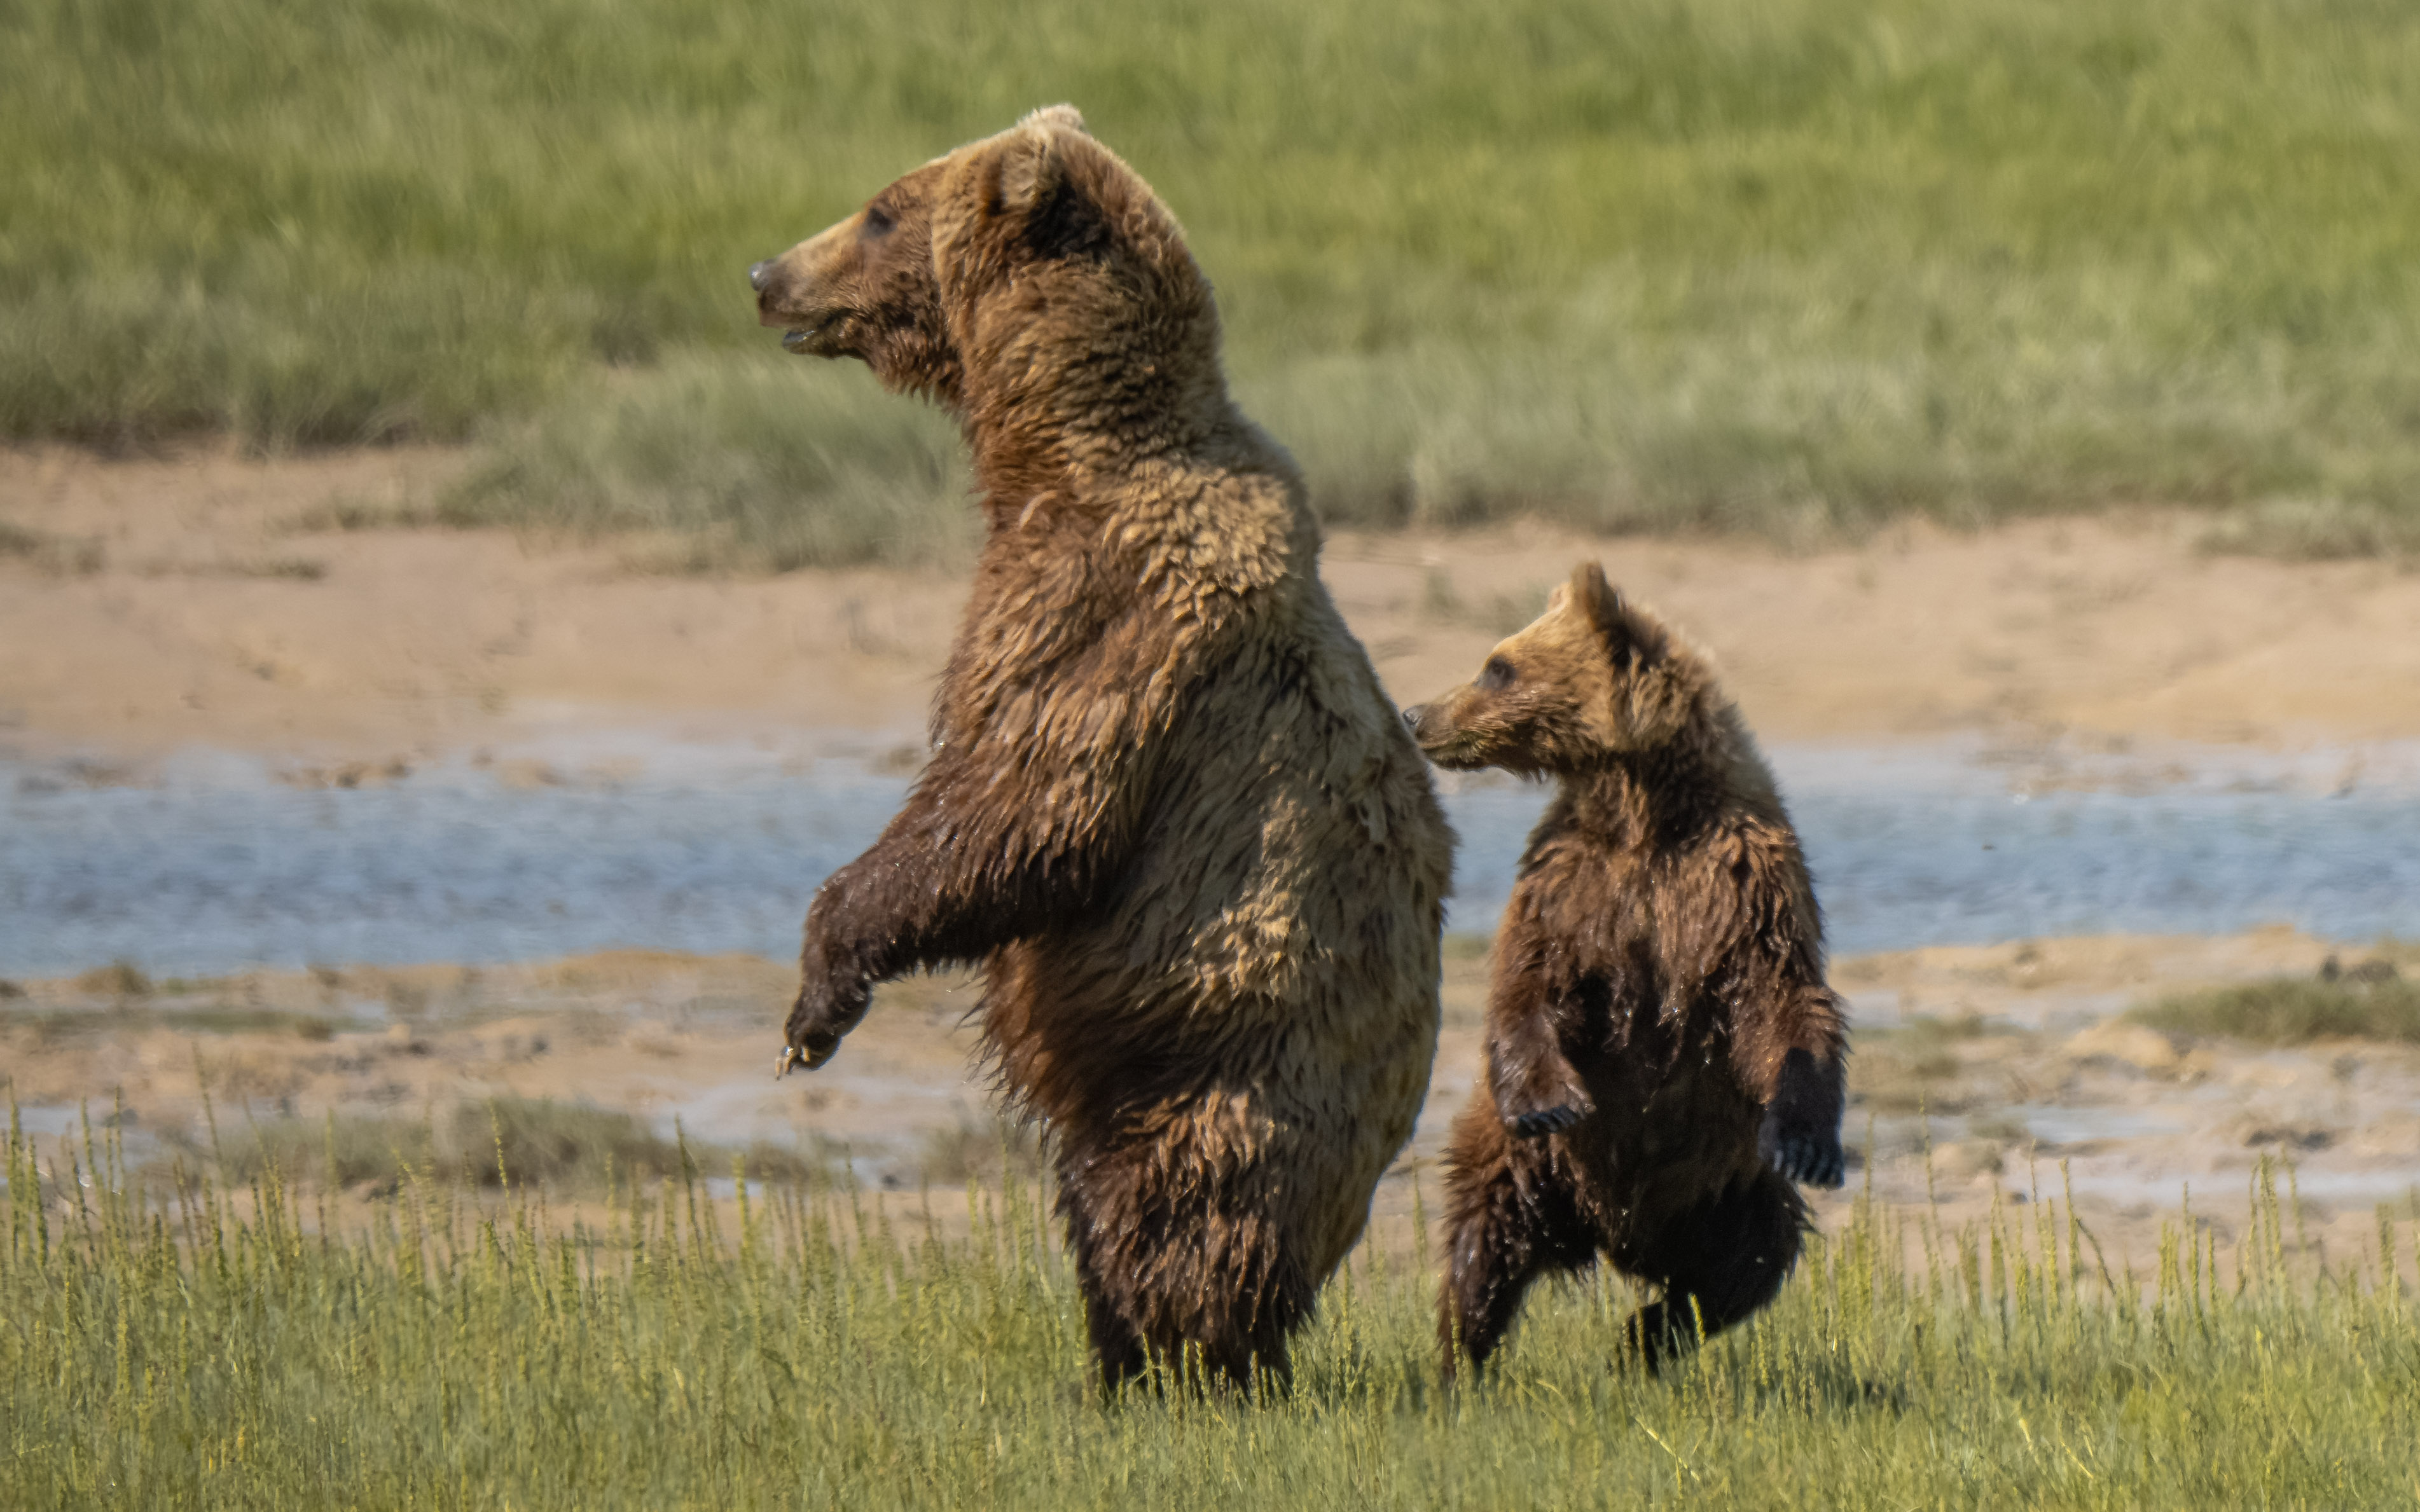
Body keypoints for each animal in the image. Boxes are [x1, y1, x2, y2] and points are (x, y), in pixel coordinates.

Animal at [750, 106, 1453, 1391]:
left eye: (880, 209)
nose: (766, 273)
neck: (1059, 456)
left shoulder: (1099, 610)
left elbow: (1023, 806)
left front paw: (814, 1003)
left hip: (1221, 1053)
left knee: (1176, 1207)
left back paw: (1180, 1361)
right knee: (1093, 1190)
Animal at [1403, 561, 1847, 1376]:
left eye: (1496, 665)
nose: (1418, 714)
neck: (1643, 805)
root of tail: (1615, 1237)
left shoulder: (1738, 877)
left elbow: (1782, 998)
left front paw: (1809, 1141)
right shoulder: (1573, 881)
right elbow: (1531, 979)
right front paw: (1550, 1099)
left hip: (1725, 1184)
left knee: (1743, 1265)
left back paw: (1641, 1339)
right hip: (1525, 1167)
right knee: (1481, 1251)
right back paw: (1459, 1362)